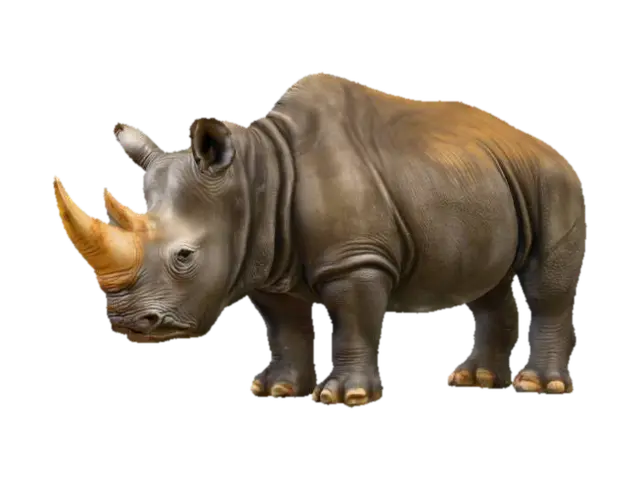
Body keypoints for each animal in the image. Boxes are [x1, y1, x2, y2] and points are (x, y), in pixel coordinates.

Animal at [52, 72, 585, 406]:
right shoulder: (262, 260)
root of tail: (547, 148)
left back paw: (539, 387)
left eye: (185, 256)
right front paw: (275, 390)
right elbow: (285, 327)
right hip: (478, 179)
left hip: (552, 180)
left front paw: (344, 396)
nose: (128, 323)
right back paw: (473, 380)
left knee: (546, 286)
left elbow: (353, 321)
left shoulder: (356, 259)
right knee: (484, 283)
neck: (256, 176)